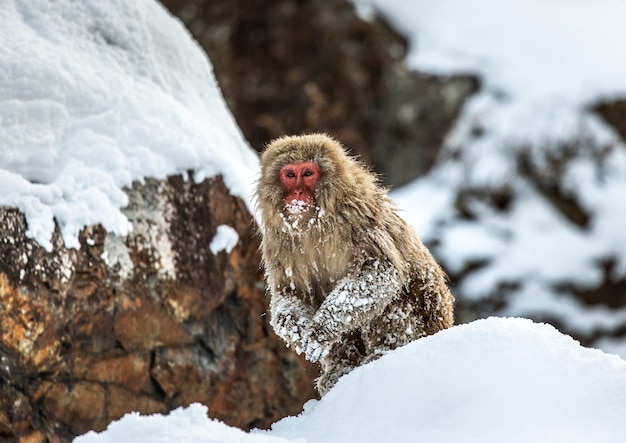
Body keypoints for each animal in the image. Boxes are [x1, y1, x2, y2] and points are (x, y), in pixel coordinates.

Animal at [254, 133, 454, 396]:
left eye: (307, 173)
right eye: (289, 174)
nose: (296, 192)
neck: (315, 223)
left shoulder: (357, 216)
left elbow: (382, 270)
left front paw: (320, 331)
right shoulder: (277, 240)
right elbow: (290, 293)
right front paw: (296, 329)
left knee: (392, 294)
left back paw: (384, 351)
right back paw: (341, 367)